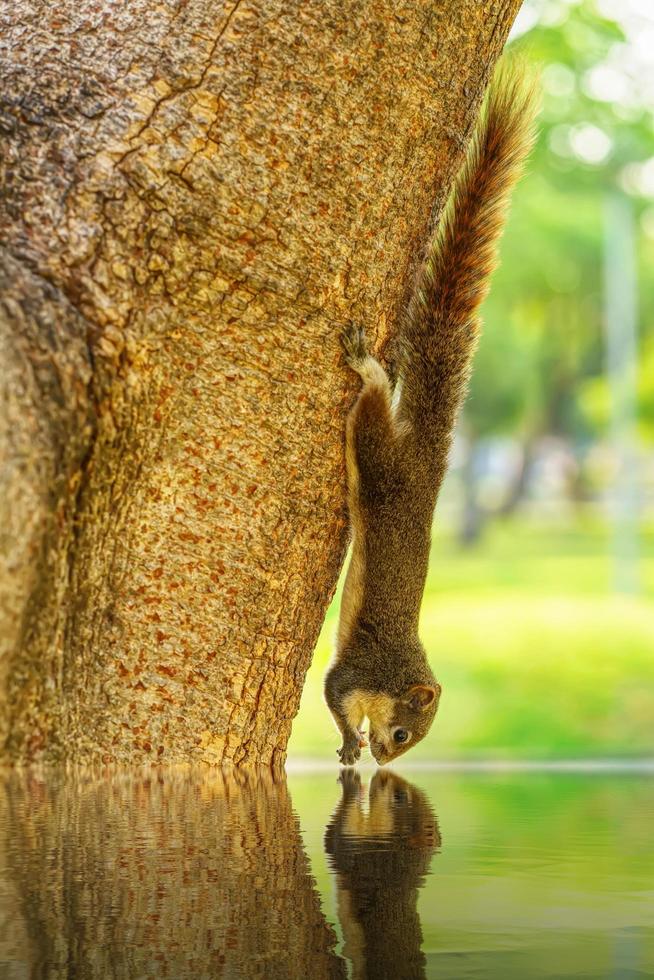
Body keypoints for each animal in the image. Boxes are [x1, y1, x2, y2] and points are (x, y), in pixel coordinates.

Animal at [326, 67, 540, 764]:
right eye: (402, 732)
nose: (385, 759)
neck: (396, 672)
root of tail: (426, 455)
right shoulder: (356, 672)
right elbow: (334, 695)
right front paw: (348, 741)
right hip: (378, 459)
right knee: (370, 409)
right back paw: (369, 368)